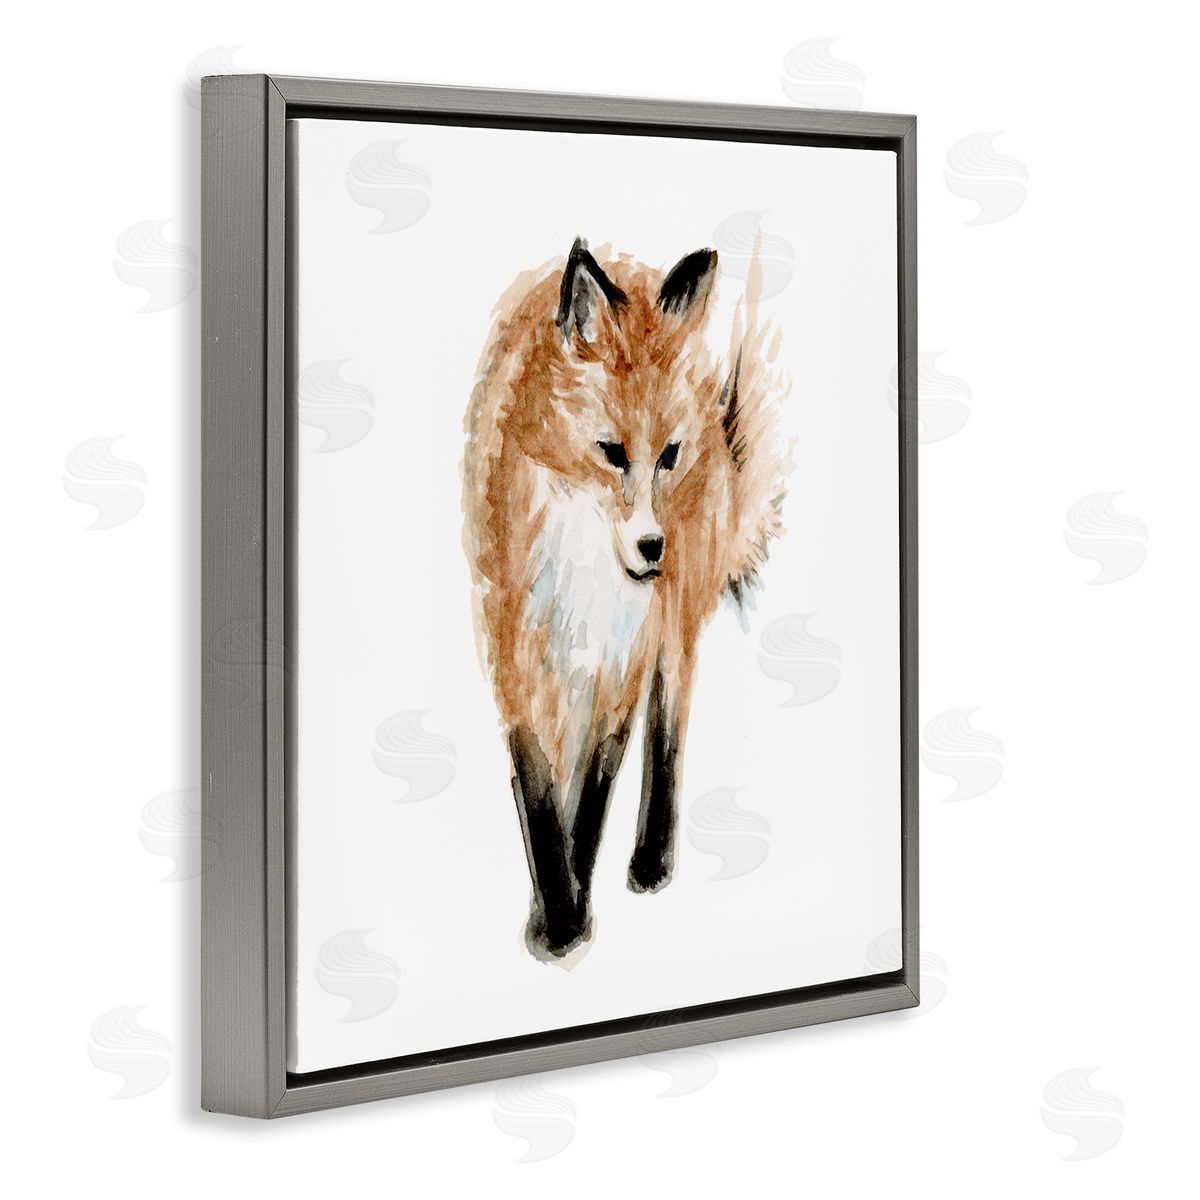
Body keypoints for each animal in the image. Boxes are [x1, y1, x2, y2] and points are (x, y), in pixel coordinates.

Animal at [462, 237, 788, 961]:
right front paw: (557, 915)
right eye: (612, 453)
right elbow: (539, 793)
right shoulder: (512, 651)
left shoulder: (623, 662)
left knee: (669, 725)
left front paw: (572, 914)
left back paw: (652, 857)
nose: (651, 548)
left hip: (674, 623)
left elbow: (594, 794)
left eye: (668, 455)